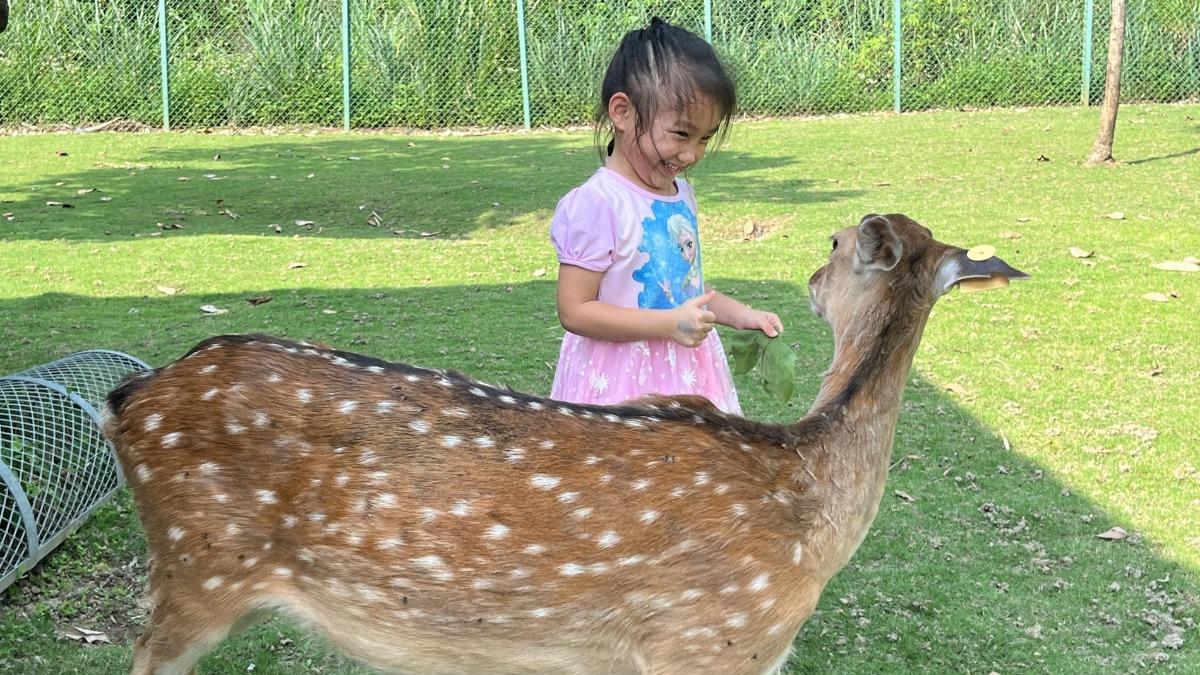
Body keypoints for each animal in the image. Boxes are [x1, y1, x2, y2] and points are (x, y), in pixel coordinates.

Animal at [102, 213, 1027, 675]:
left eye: (830, 247)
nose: (805, 278)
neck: (811, 524)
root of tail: (125, 399)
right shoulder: (706, 642)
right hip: (197, 565)